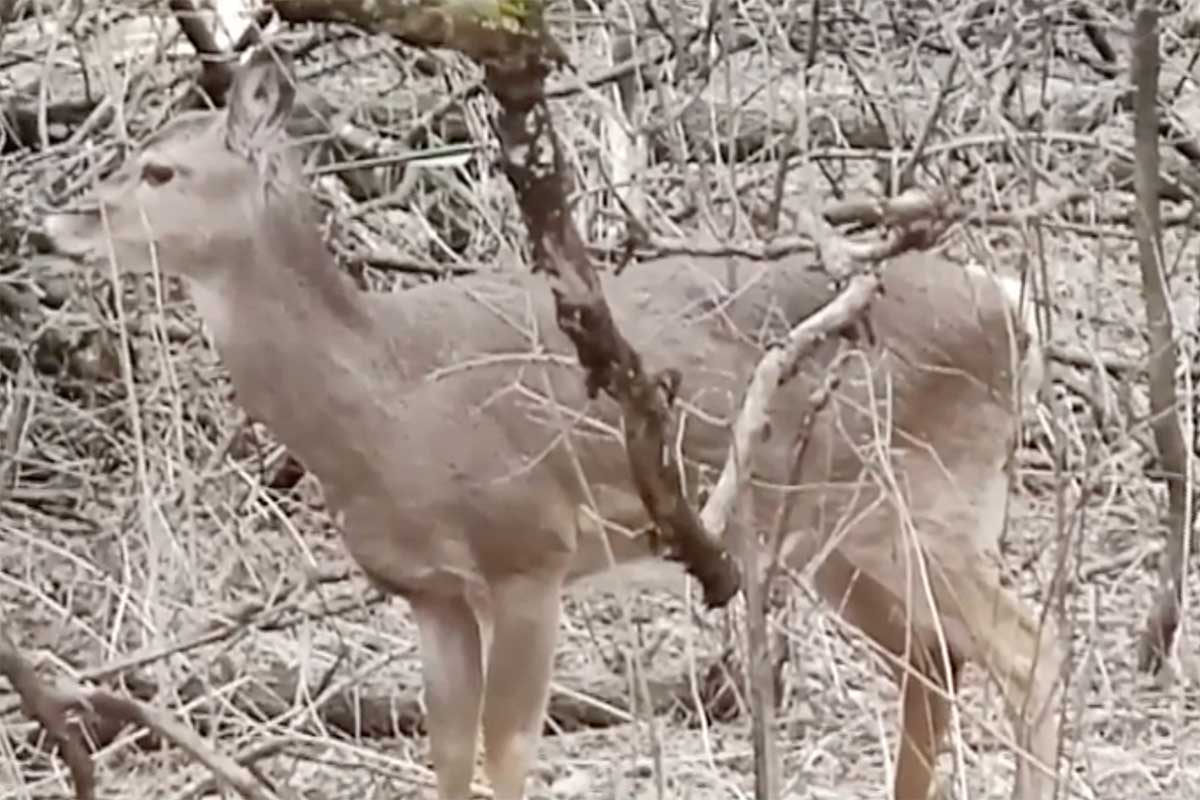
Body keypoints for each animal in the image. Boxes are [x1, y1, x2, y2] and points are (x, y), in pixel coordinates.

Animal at [42, 50, 1065, 800]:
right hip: (836, 535)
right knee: (933, 665)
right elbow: (450, 760)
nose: (54, 224)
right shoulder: (432, 593)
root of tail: (1010, 305)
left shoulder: (530, 549)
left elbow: (508, 759)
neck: (385, 404)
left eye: (161, 169)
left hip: (923, 492)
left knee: (1029, 650)